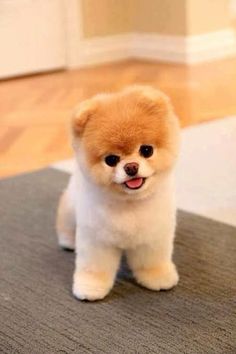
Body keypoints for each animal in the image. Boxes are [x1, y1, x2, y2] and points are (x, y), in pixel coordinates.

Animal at [56, 84, 180, 300]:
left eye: (146, 150)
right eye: (111, 160)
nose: (131, 167)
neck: (129, 204)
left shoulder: (153, 236)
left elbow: (152, 261)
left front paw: (158, 277)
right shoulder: (97, 240)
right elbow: (94, 267)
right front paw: (90, 287)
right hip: (71, 208)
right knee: (66, 222)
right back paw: (68, 241)